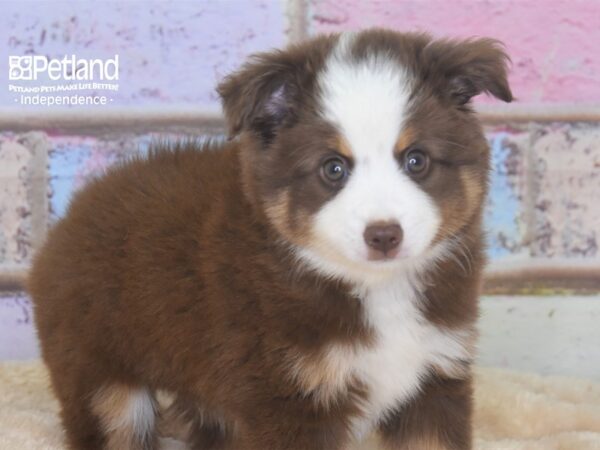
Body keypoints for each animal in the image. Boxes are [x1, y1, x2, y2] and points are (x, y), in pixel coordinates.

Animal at [28, 29, 512, 450]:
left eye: (416, 160)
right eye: (333, 168)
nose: (384, 235)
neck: (375, 290)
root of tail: (70, 215)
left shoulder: (434, 378)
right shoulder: (289, 396)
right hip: (101, 380)